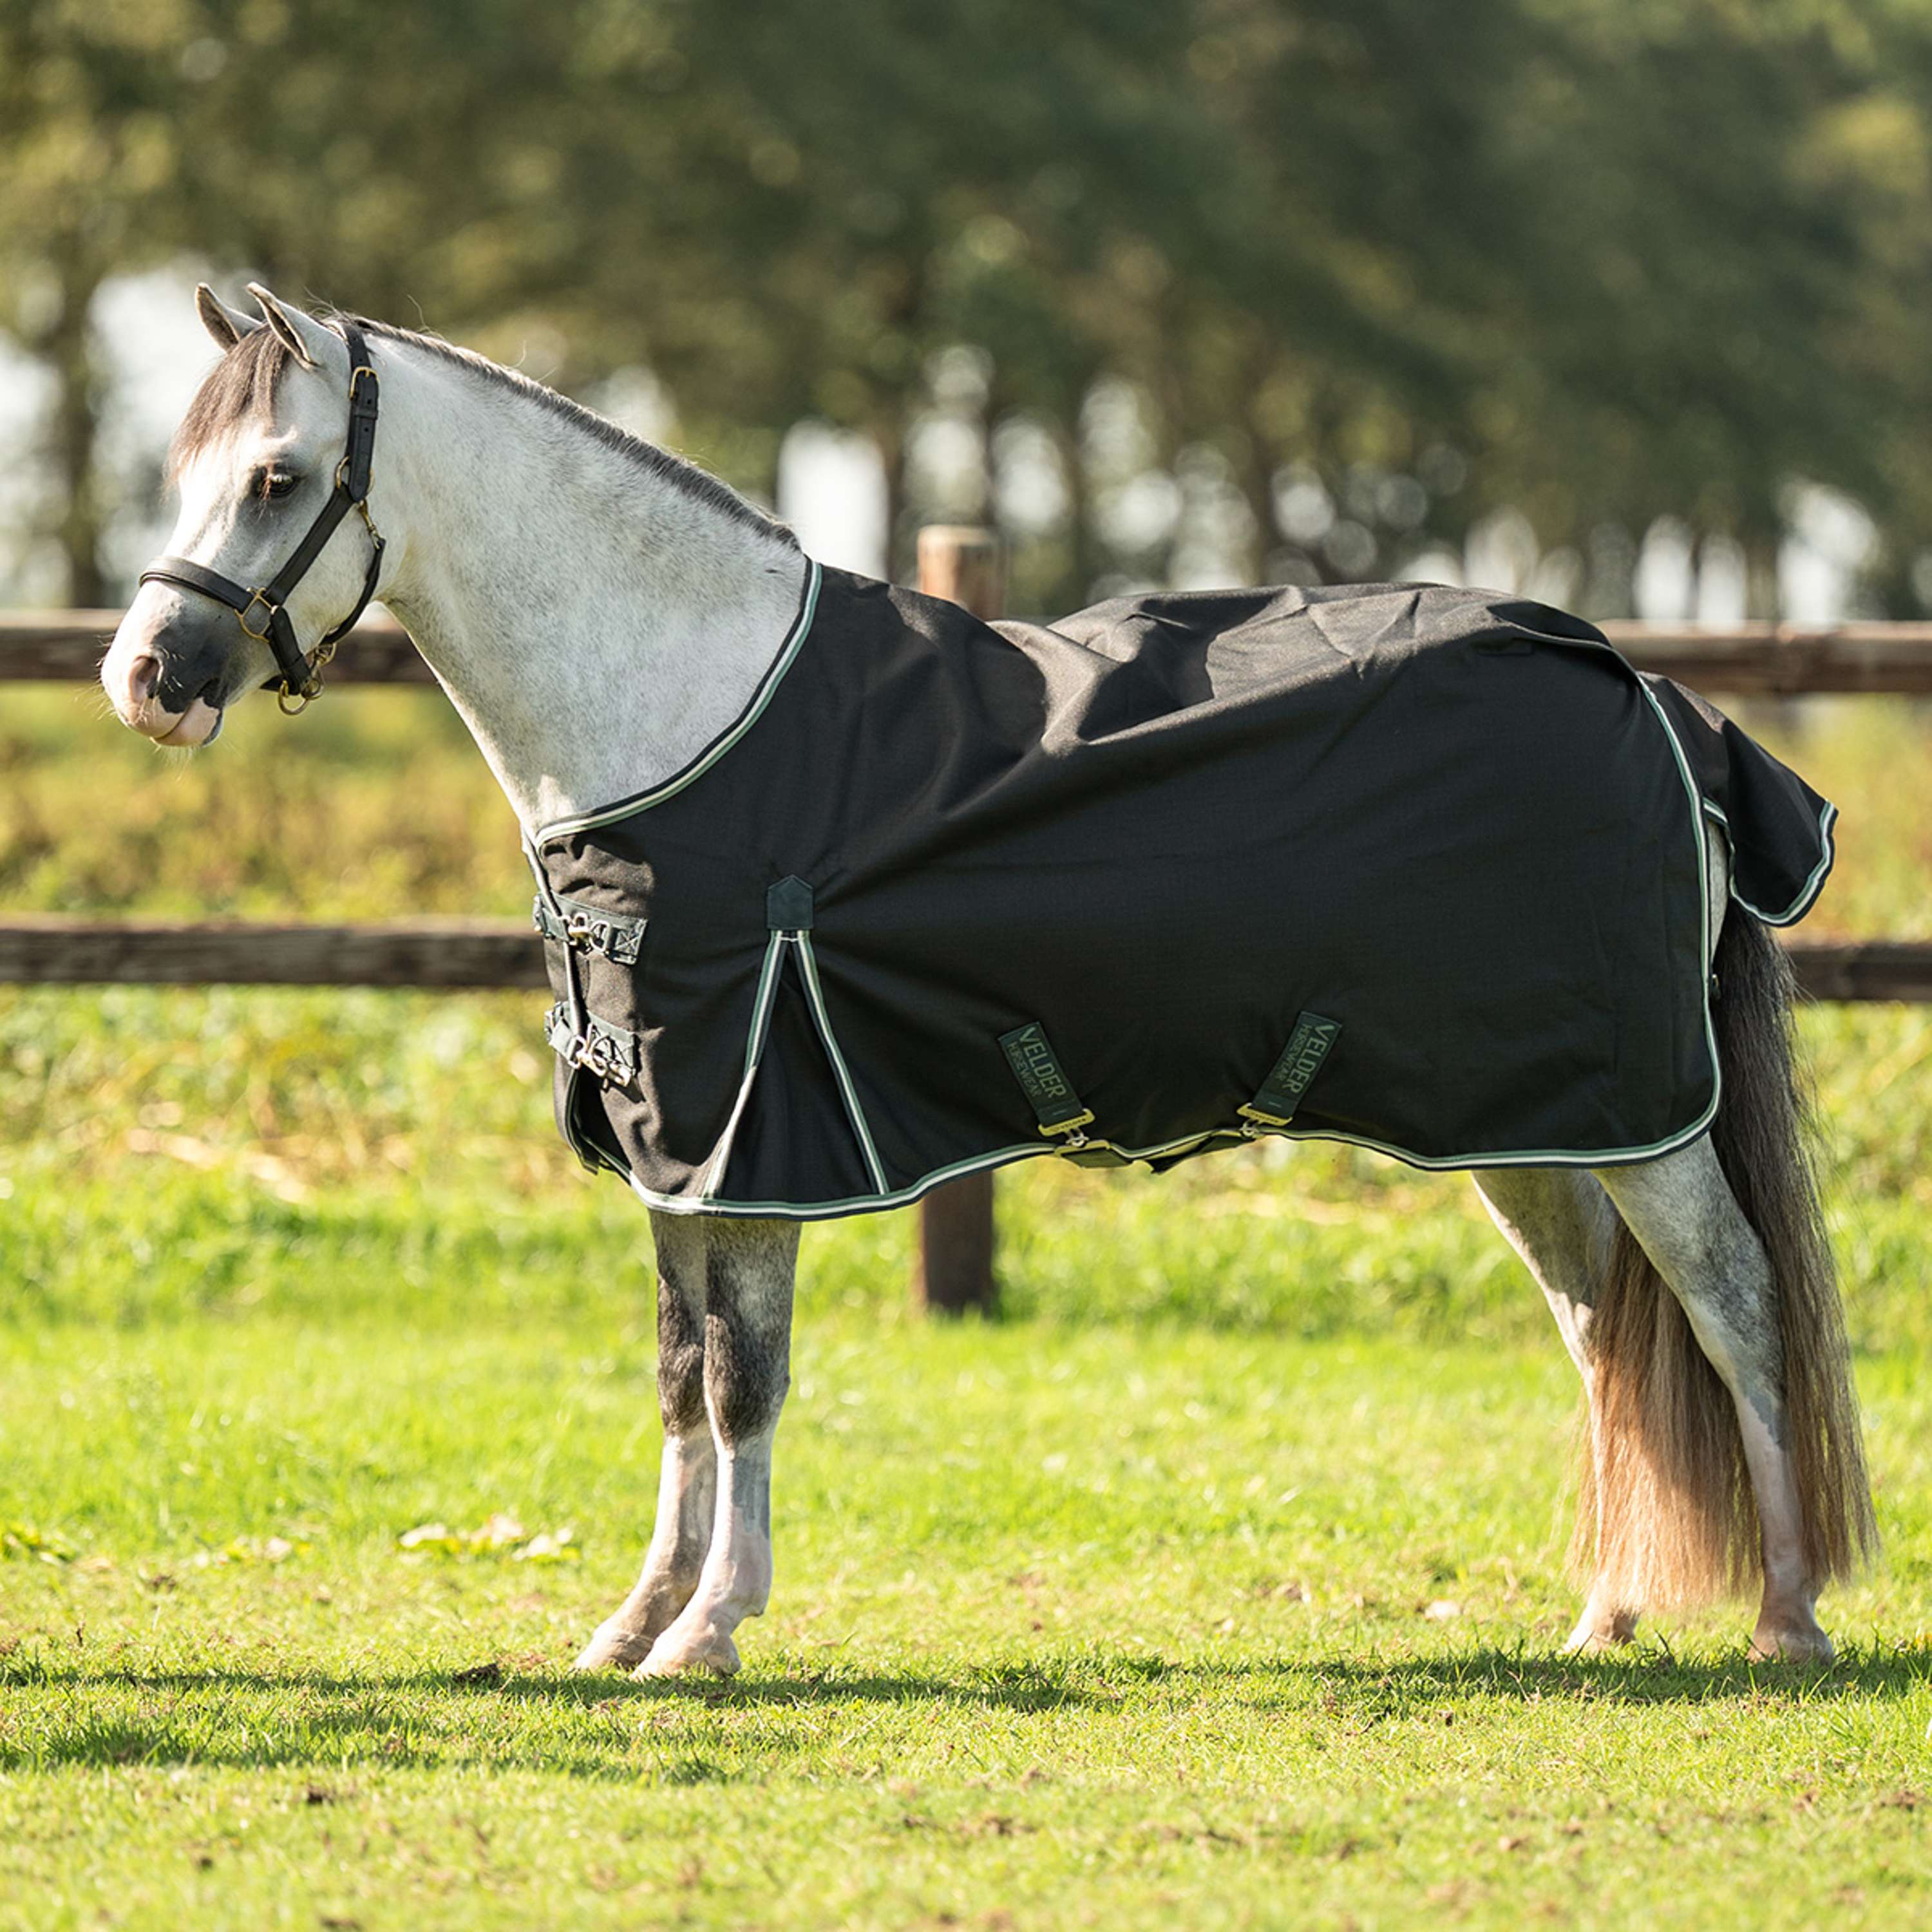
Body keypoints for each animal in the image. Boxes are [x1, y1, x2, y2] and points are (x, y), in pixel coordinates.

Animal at [100, 284, 1876, 1677]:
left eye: (275, 476)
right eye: (180, 470)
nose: (145, 683)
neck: (683, 716)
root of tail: (1644, 688)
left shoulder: (758, 1142)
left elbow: (745, 1380)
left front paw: (710, 1631)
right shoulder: (671, 1147)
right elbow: (680, 1378)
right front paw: (631, 1622)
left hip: (1640, 1115)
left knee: (1732, 1305)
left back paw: (1784, 1618)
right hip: (1528, 1124)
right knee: (1605, 1333)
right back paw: (1604, 1619)